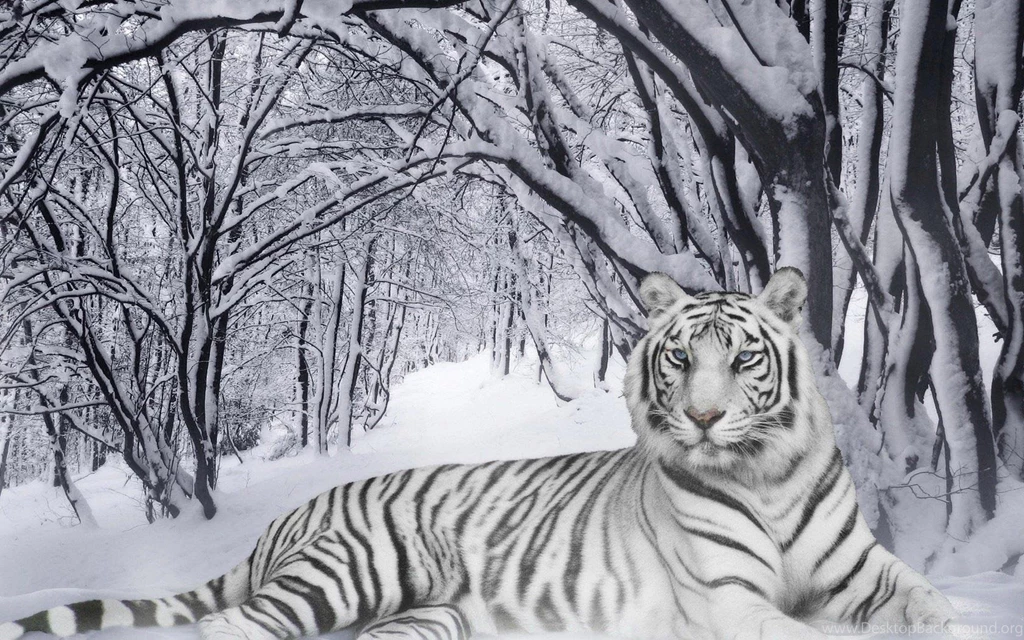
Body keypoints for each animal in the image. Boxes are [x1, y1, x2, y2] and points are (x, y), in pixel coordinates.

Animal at [0, 268, 956, 640]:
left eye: (743, 359)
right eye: (680, 358)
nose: (705, 418)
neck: (765, 475)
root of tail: (287, 518)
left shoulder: (863, 570)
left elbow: (933, 603)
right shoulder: (727, 600)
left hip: (424, 617)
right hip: (353, 569)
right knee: (232, 626)